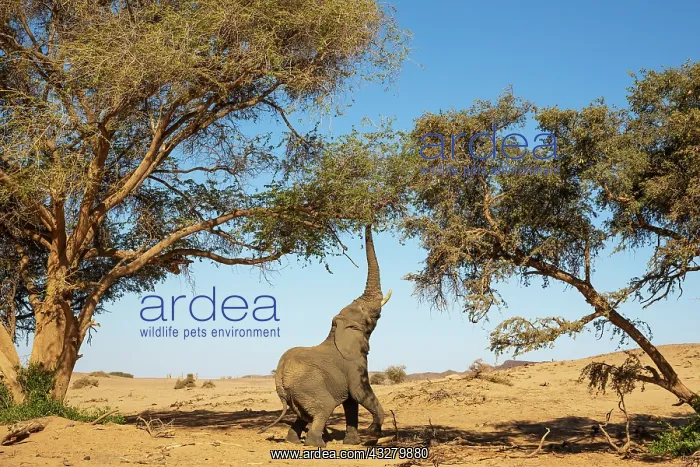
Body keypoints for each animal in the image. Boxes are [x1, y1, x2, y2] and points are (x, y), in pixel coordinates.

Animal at [258, 225, 392, 447]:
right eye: (368, 315)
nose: (369, 222)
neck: (336, 330)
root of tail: (279, 376)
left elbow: (351, 403)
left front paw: (352, 443)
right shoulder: (355, 362)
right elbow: (359, 393)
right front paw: (372, 433)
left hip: (297, 393)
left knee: (303, 416)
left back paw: (294, 442)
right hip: (309, 387)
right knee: (323, 409)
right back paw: (317, 444)